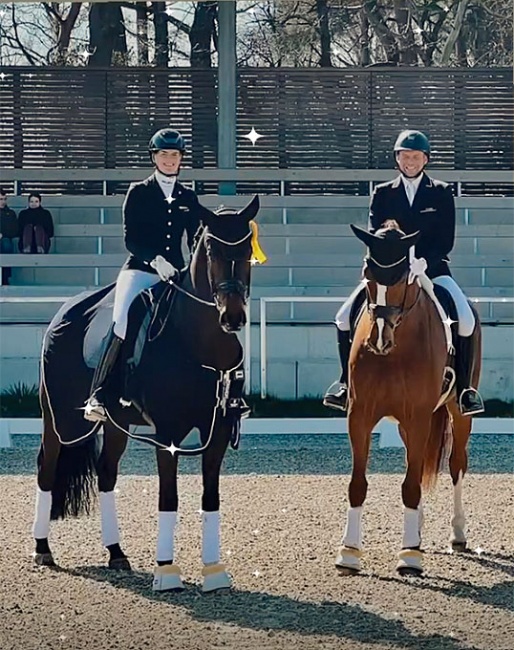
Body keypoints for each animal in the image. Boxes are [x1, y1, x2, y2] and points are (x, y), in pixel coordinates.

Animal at [34, 195, 262, 588]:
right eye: (211, 249)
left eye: (247, 248)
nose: (232, 317)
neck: (197, 344)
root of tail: (65, 310)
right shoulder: (167, 435)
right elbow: (168, 499)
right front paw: (167, 572)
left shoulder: (217, 432)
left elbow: (211, 498)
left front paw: (214, 573)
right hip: (59, 420)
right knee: (47, 469)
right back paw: (42, 549)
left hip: (115, 423)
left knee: (107, 475)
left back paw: (116, 553)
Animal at [334, 220, 478, 576]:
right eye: (367, 273)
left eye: (402, 278)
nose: (379, 340)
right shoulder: (359, 415)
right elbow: (358, 484)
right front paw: (349, 552)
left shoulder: (418, 416)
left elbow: (411, 485)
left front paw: (410, 555)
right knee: (416, 463)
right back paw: (420, 530)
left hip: (458, 414)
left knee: (456, 464)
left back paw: (457, 534)